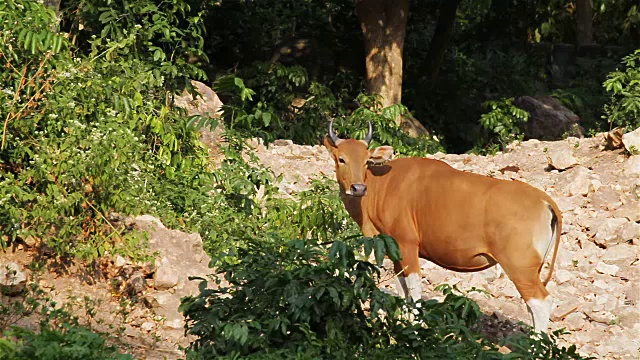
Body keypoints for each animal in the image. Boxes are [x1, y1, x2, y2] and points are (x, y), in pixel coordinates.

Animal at [324, 121, 560, 332]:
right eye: (341, 159)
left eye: (366, 161)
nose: (358, 188)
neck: (382, 186)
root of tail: (544, 201)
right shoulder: (395, 251)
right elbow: (402, 289)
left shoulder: (407, 245)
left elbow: (414, 290)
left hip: (519, 267)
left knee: (541, 303)